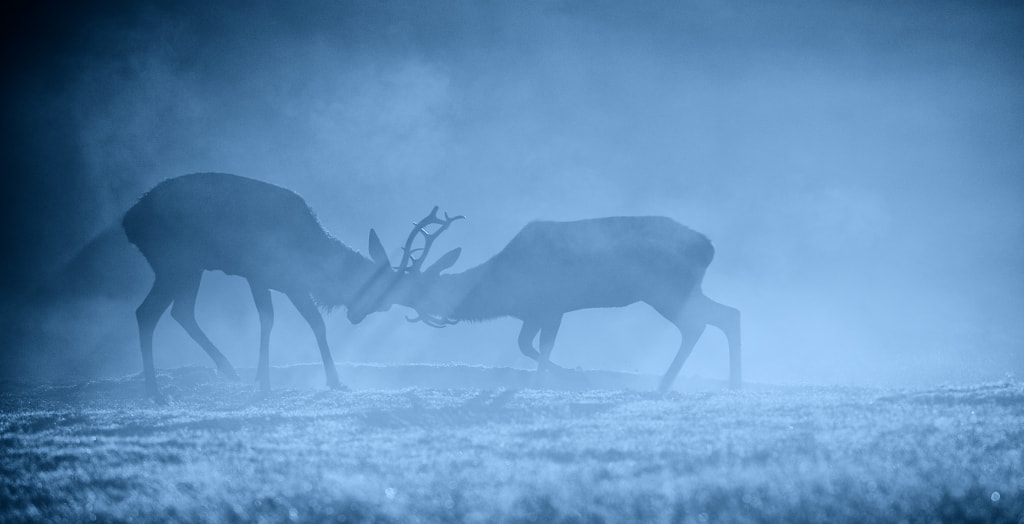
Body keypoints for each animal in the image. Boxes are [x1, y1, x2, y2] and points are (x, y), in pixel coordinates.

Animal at [121, 171, 405, 401]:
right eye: (377, 293)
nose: (355, 317)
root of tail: (128, 223)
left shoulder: (292, 285)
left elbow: (315, 323)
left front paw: (335, 381)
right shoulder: (259, 275)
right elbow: (268, 319)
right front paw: (265, 382)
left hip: (191, 268)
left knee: (180, 311)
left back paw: (227, 370)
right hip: (174, 263)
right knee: (147, 312)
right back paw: (155, 391)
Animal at [356, 208, 741, 393]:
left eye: (404, 286)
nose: (360, 311)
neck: (502, 289)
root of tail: (709, 247)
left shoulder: (552, 305)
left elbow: (540, 347)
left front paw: (560, 381)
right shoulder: (534, 312)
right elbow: (527, 345)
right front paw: (566, 378)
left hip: (666, 289)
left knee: (701, 323)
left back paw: (668, 383)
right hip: (682, 289)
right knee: (728, 314)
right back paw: (727, 382)